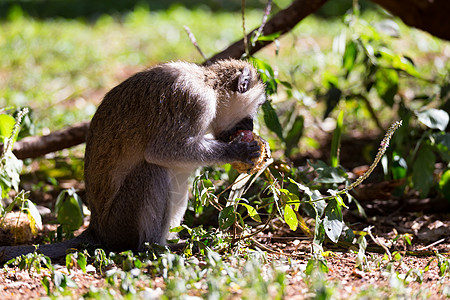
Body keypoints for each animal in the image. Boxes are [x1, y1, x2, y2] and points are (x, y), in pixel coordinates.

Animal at [0, 58, 266, 262]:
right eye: (255, 108)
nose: (251, 126)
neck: (209, 84)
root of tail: (96, 229)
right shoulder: (195, 101)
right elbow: (162, 151)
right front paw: (238, 152)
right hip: (120, 223)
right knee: (152, 170)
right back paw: (154, 246)